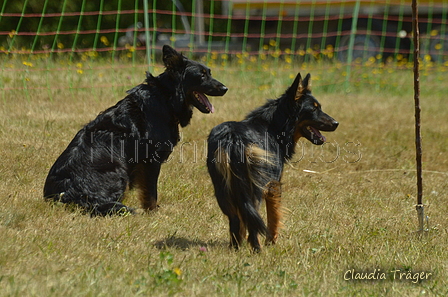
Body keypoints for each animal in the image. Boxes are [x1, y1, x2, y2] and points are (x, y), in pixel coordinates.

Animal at [44, 44, 228, 215]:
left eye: (209, 73)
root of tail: (68, 193)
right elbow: (151, 192)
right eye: (202, 75)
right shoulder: (150, 161)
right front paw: (153, 213)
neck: (165, 98)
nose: (225, 89)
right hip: (118, 171)